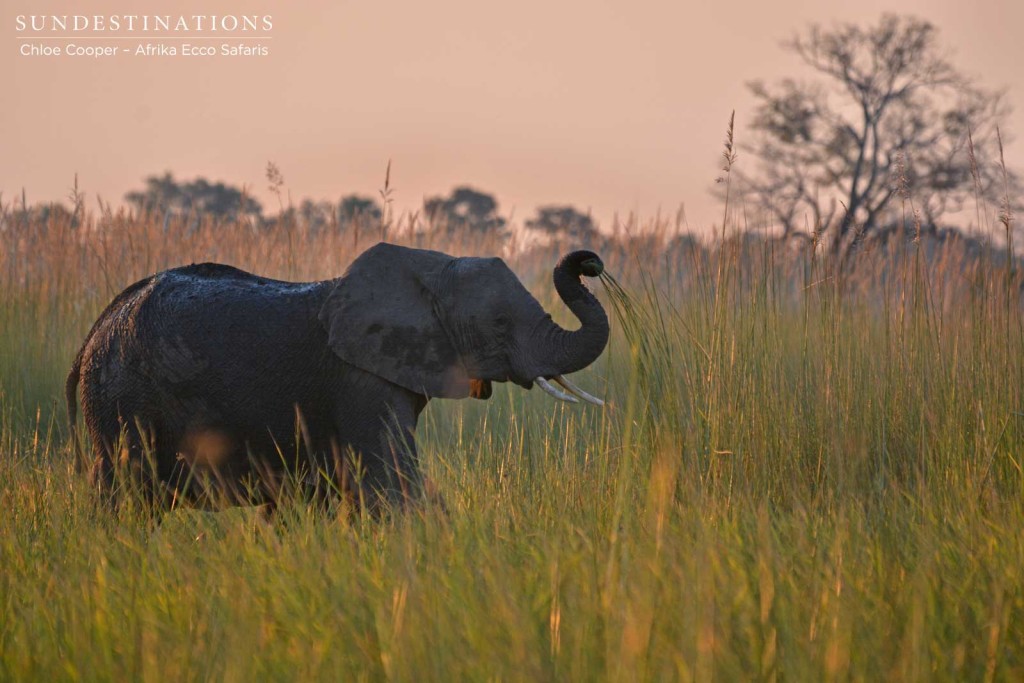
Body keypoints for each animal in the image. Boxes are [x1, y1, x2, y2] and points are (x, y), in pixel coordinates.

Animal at [68, 242, 610, 509]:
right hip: (123, 404)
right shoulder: (359, 381)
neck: (430, 270)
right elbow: (391, 482)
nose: (589, 261)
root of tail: (97, 326)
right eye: (498, 324)